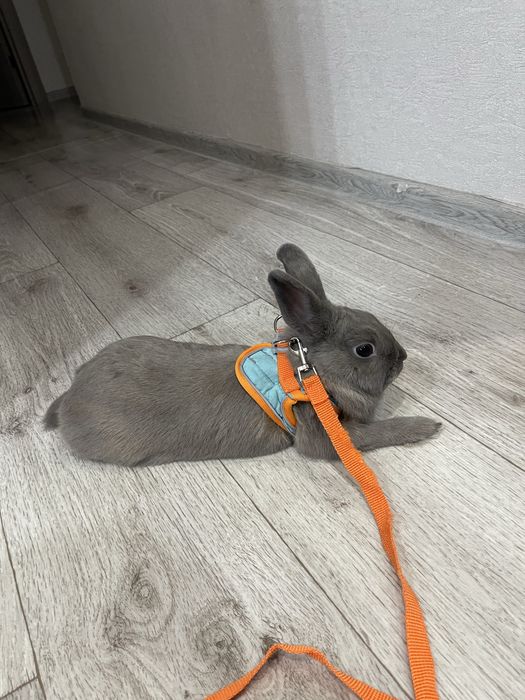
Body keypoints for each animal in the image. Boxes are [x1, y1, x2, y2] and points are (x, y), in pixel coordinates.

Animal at [44, 244, 441, 466]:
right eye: (364, 350)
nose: (403, 357)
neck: (310, 372)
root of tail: (70, 397)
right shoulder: (326, 432)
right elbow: (377, 434)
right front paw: (426, 426)